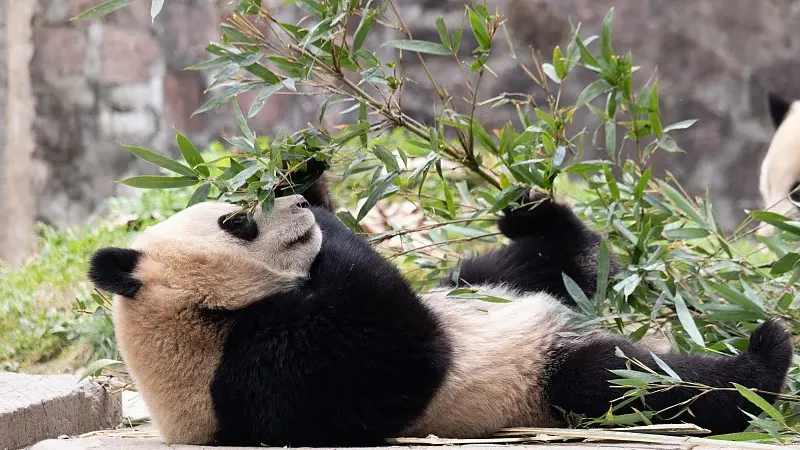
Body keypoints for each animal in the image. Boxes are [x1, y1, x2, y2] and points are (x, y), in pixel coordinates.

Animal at [88, 178, 793, 447]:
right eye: (237, 222)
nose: (292, 203)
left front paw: (308, 175)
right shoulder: (256, 379)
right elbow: (399, 351)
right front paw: (324, 218)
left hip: (486, 289)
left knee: (529, 265)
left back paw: (534, 211)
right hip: (537, 382)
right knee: (628, 381)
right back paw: (764, 357)